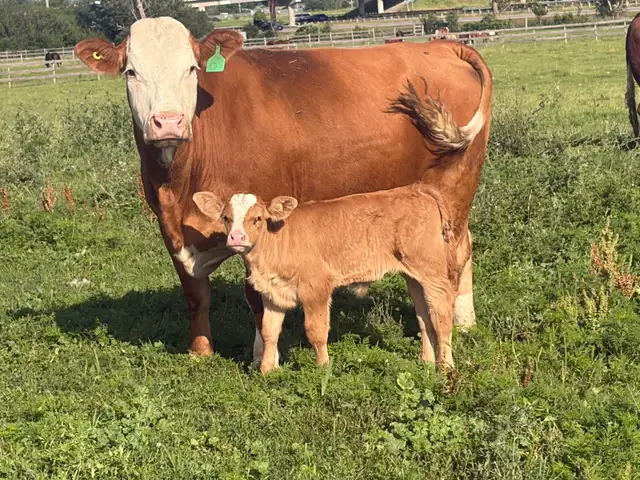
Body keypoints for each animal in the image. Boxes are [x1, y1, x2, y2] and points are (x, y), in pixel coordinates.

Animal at [192, 184, 469, 374]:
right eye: (226, 217)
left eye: (257, 218)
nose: (236, 238)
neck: (277, 241)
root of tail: (416, 188)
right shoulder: (272, 293)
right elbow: (269, 330)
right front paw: (267, 370)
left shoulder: (316, 288)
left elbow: (316, 331)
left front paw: (322, 369)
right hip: (414, 277)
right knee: (424, 317)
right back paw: (427, 363)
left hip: (433, 273)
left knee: (442, 317)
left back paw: (446, 368)